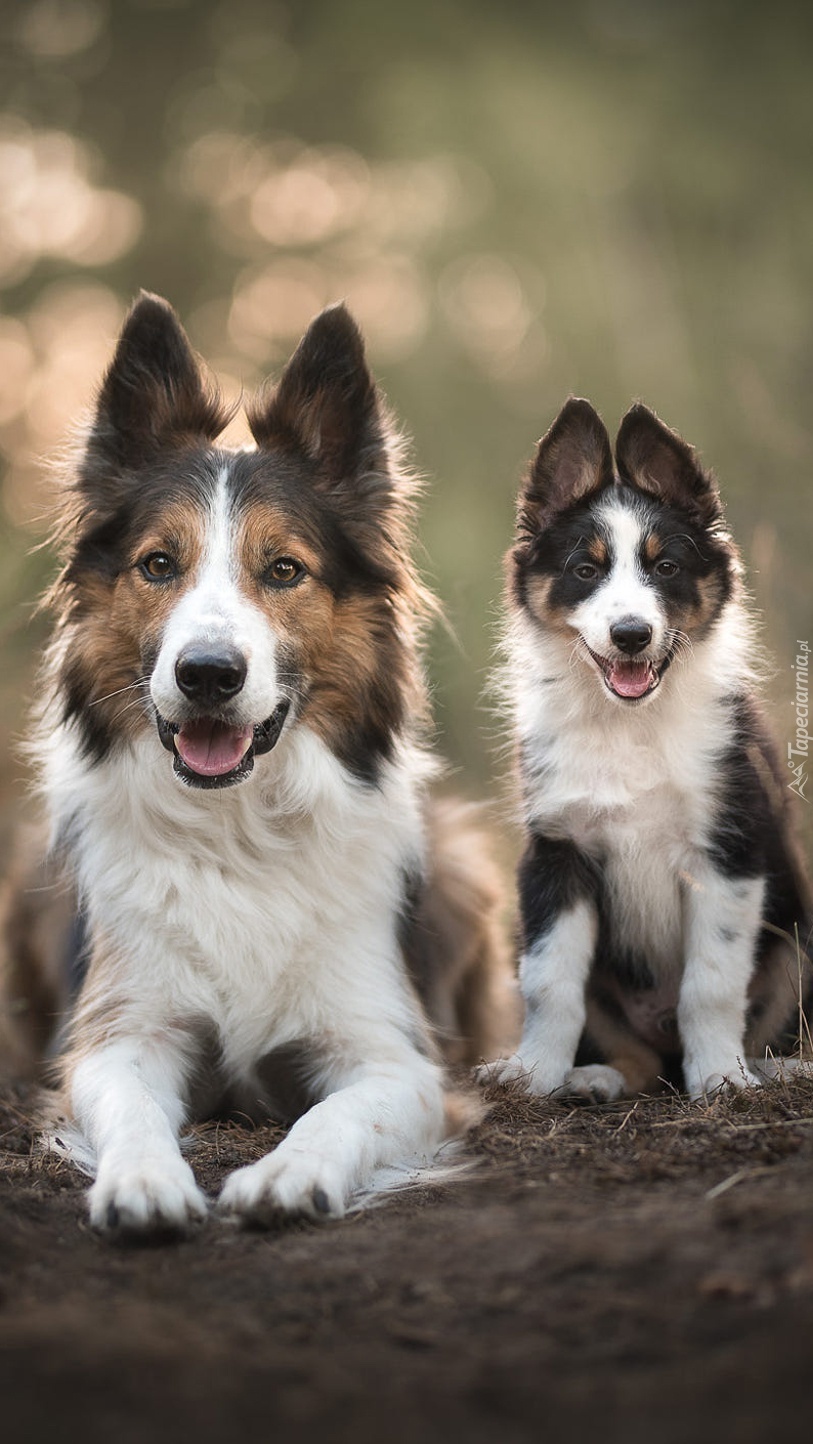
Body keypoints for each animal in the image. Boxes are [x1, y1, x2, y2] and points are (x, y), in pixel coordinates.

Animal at [1, 296, 508, 1241]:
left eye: (283, 570)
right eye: (158, 564)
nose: (208, 673)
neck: (238, 831)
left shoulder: (390, 1055)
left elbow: (335, 1114)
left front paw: (287, 1176)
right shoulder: (124, 1032)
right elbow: (130, 1107)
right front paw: (143, 1183)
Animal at [488, 401, 808, 1097]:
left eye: (666, 568)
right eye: (585, 570)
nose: (631, 635)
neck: (628, 724)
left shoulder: (728, 850)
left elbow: (712, 986)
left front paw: (720, 1078)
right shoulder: (556, 852)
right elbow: (550, 983)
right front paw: (532, 1074)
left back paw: (776, 1068)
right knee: (638, 1061)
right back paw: (594, 1080)